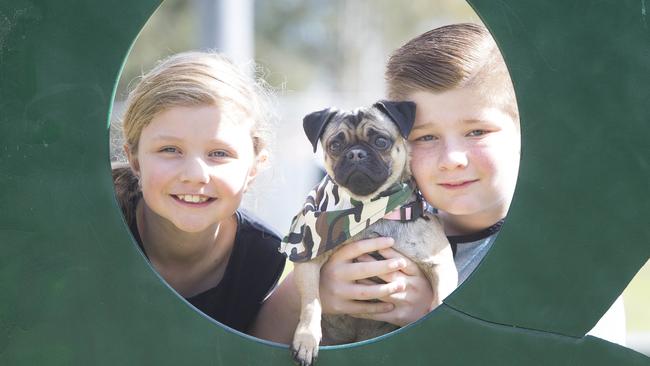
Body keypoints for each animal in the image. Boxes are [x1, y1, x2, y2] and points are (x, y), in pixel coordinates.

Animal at [278, 100, 456, 366]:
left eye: (381, 141)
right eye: (335, 145)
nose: (356, 154)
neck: (370, 210)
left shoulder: (440, 264)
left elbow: (441, 297)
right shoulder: (307, 259)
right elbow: (311, 302)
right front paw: (306, 338)